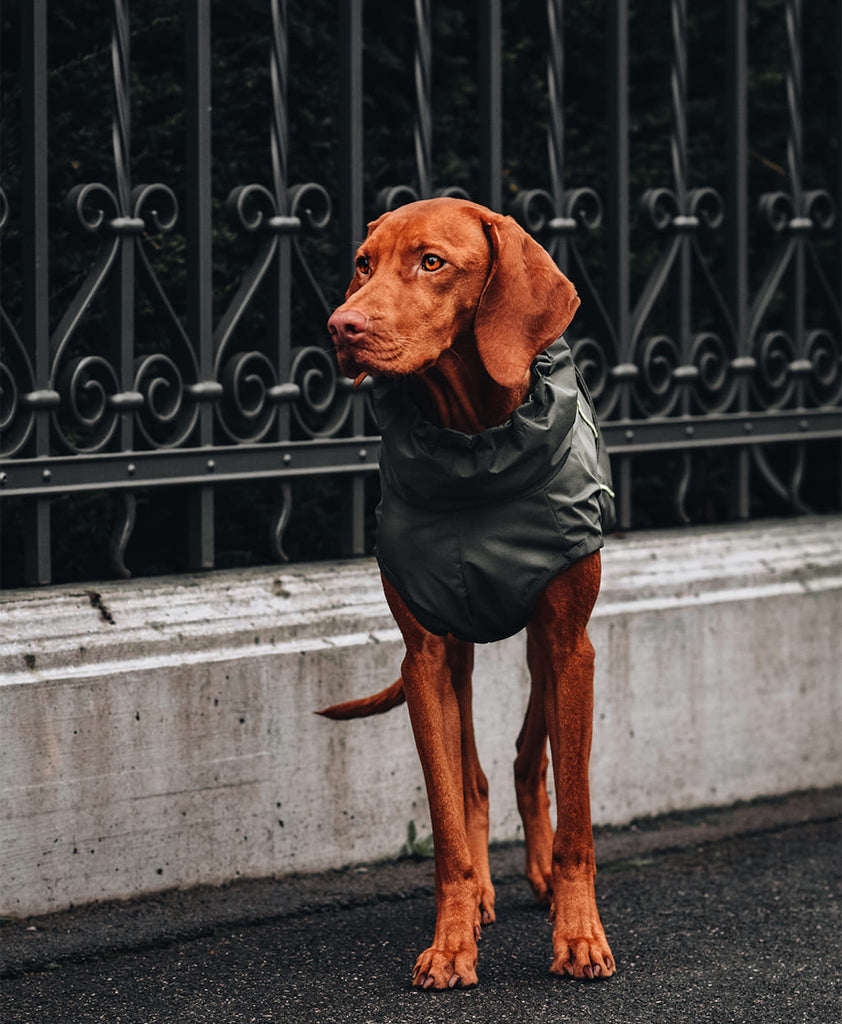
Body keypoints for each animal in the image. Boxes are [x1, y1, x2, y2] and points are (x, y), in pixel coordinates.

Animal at [319, 195, 614, 987]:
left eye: (432, 262)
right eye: (363, 264)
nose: (342, 327)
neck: (475, 448)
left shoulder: (572, 645)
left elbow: (576, 816)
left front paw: (579, 935)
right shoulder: (423, 656)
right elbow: (448, 817)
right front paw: (452, 940)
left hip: (545, 651)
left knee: (527, 760)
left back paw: (542, 880)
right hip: (458, 656)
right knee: (476, 776)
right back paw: (482, 893)